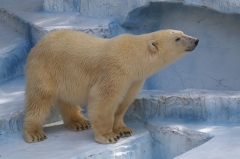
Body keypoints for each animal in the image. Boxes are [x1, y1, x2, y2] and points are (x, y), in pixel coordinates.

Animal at [23, 28, 199, 144]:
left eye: (183, 32)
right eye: (177, 38)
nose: (196, 40)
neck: (134, 57)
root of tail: (38, 43)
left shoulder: (134, 80)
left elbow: (123, 102)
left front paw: (123, 129)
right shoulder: (115, 71)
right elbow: (103, 99)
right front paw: (108, 136)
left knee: (66, 100)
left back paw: (79, 122)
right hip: (45, 69)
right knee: (39, 99)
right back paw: (34, 133)